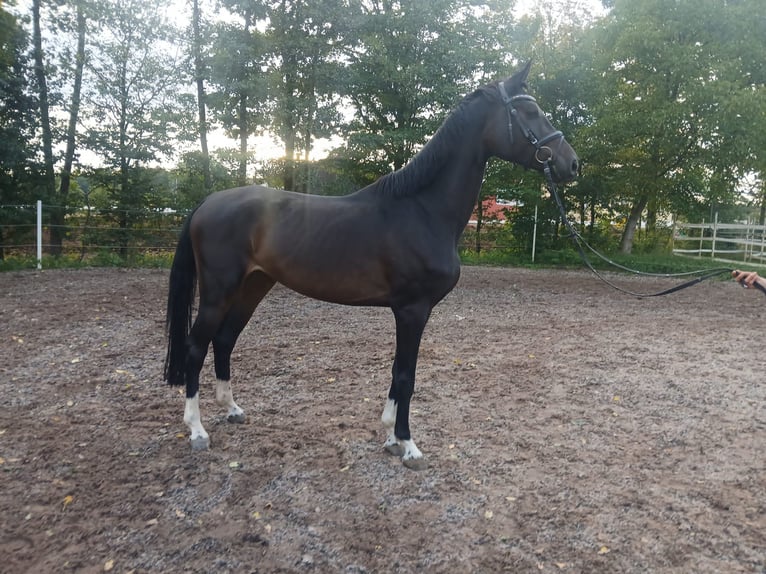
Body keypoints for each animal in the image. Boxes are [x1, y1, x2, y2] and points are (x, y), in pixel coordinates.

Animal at [164, 61, 579, 470]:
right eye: (530, 111)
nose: (571, 163)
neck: (422, 210)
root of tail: (207, 203)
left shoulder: (408, 311)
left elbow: (398, 372)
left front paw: (391, 436)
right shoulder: (413, 309)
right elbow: (407, 374)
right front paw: (408, 445)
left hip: (254, 286)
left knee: (225, 339)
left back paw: (232, 409)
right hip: (219, 291)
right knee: (196, 346)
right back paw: (197, 431)